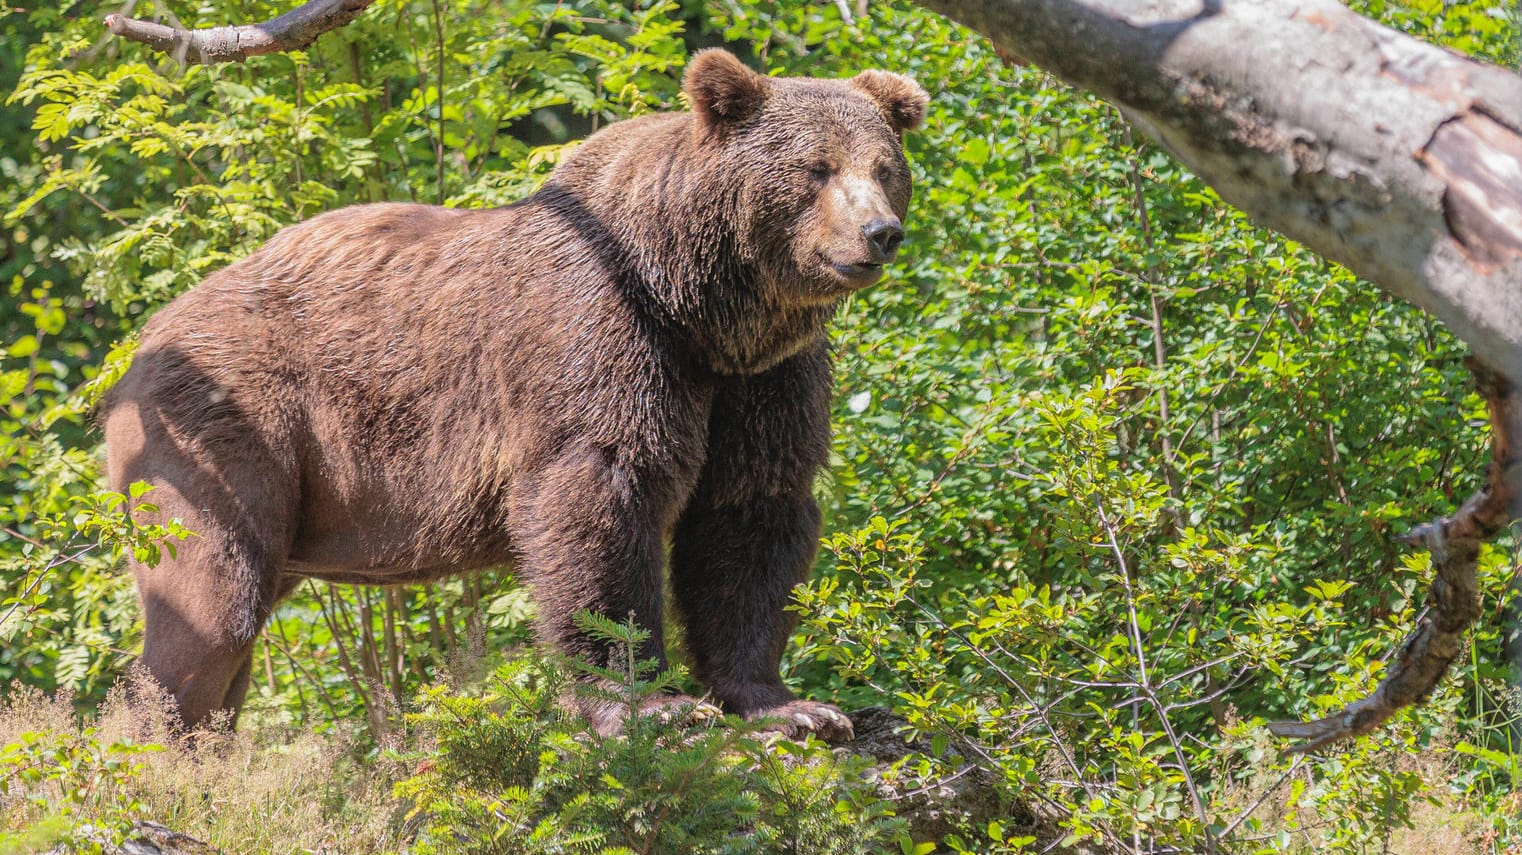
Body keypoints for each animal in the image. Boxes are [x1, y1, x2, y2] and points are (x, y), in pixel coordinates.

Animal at [101, 48, 925, 739]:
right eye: (816, 168)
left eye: (885, 167)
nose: (879, 233)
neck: (698, 303)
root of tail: (140, 344)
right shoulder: (603, 334)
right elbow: (598, 495)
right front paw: (647, 703)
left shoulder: (761, 379)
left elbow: (749, 511)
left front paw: (793, 707)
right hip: (232, 426)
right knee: (213, 605)